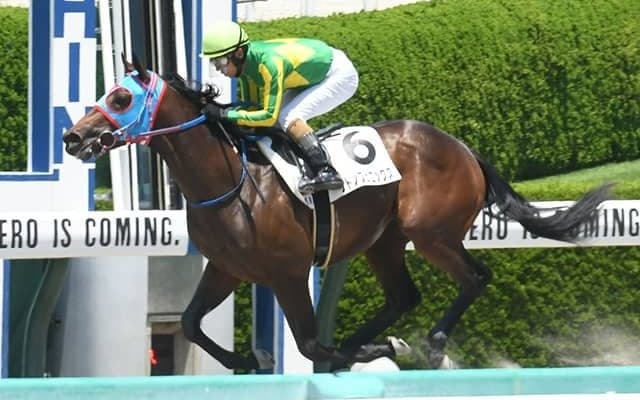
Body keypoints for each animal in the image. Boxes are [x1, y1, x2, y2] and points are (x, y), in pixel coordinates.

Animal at [63, 57, 611, 371]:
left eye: (121, 97)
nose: (72, 136)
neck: (230, 183)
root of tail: (462, 148)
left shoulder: (287, 272)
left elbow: (307, 344)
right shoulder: (225, 268)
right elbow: (193, 323)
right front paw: (249, 359)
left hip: (430, 234)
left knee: (475, 277)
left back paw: (428, 344)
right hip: (384, 241)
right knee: (403, 296)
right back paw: (370, 343)